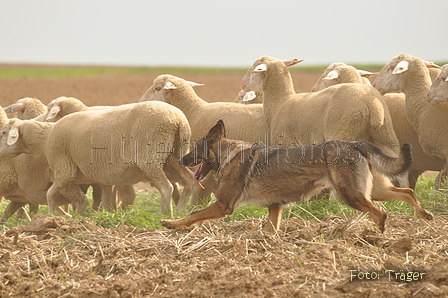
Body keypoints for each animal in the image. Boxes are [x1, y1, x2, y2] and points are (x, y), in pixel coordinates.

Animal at [0, 101, 191, 215]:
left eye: (3, 132)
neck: (46, 139)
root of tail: (179, 120)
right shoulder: (79, 179)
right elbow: (81, 201)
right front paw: (81, 218)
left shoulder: (64, 171)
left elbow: (50, 194)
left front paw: (54, 216)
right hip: (173, 157)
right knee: (188, 180)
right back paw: (181, 210)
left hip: (150, 158)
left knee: (167, 188)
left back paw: (165, 214)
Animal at [161, 120, 434, 232]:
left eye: (193, 149)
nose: (179, 160)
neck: (228, 153)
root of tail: (354, 143)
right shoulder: (275, 207)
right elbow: (270, 230)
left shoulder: (223, 205)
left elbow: (193, 215)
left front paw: (172, 224)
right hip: (372, 190)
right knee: (407, 192)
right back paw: (424, 215)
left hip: (352, 195)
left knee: (381, 214)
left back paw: (376, 237)